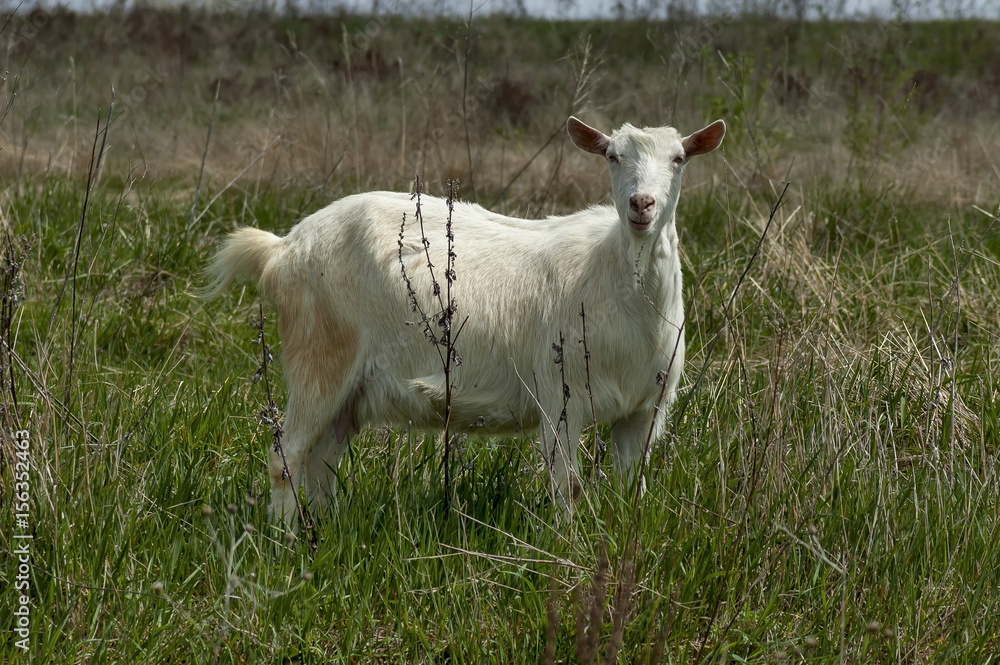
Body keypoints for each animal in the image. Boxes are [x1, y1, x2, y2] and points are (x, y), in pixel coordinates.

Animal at [209, 115, 728, 524]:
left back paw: (322, 530)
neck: (617, 278)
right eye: (613, 157)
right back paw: (285, 542)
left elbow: (632, 487)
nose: (642, 205)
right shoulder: (560, 399)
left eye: (679, 159)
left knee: (321, 462)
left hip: (349, 392)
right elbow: (568, 488)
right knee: (287, 456)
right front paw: (568, 550)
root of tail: (283, 248)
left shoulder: (645, 410)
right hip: (319, 356)